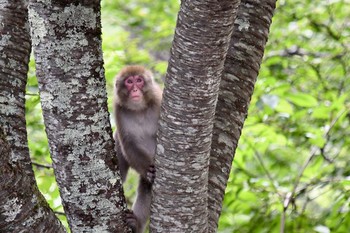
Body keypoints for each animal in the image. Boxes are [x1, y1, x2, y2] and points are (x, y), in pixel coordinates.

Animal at [113, 64, 163, 232]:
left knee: (147, 189)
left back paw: (137, 223)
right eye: (129, 82)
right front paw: (148, 171)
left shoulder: (158, 100)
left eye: (139, 80)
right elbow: (128, 144)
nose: (135, 89)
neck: (139, 109)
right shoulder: (119, 110)